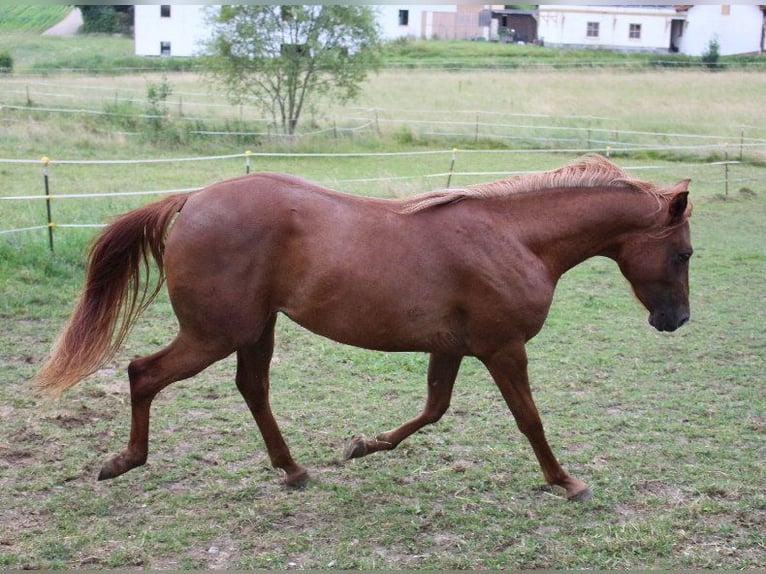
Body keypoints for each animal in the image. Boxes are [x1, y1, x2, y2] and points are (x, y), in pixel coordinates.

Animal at [37, 155, 696, 502]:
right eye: (685, 254)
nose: (676, 321)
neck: (514, 238)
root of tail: (193, 199)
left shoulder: (454, 349)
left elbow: (432, 410)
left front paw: (362, 446)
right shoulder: (503, 350)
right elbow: (529, 420)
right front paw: (566, 481)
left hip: (254, 330)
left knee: (252, 389)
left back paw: (293, 469)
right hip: (213, 334)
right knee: (142, 373)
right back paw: (123, 462)